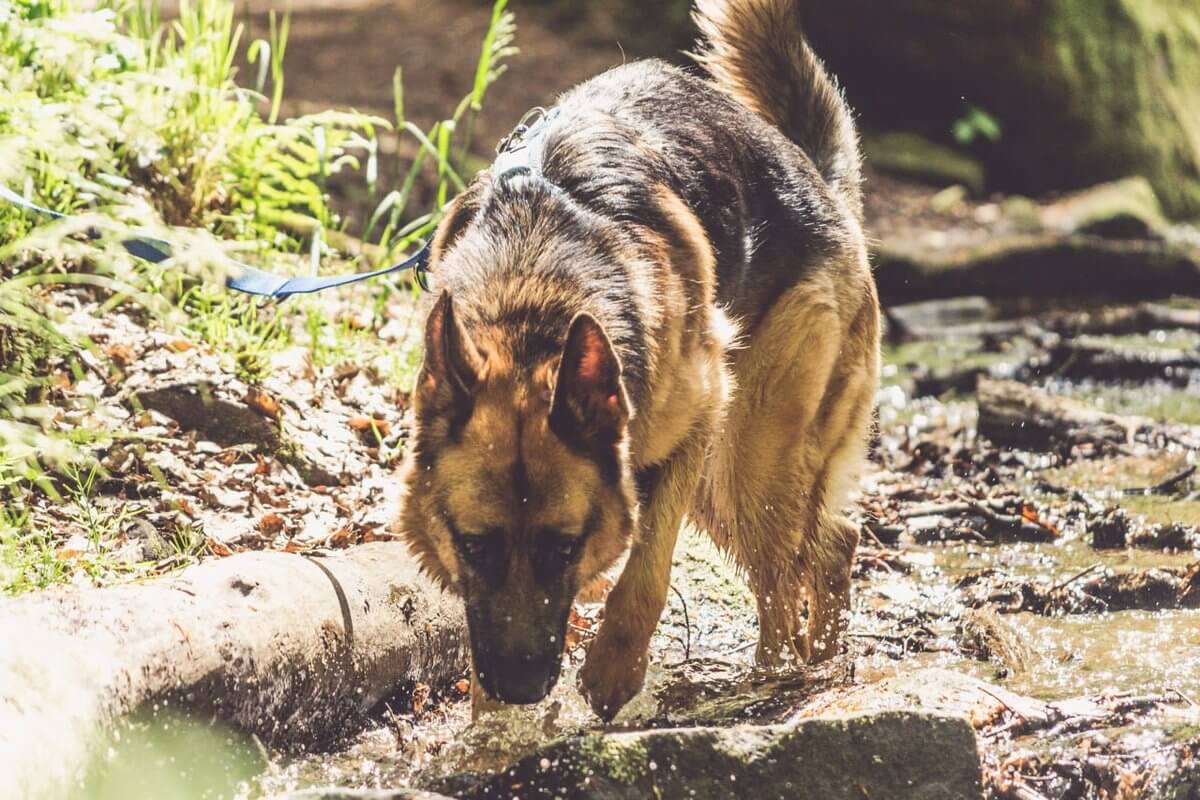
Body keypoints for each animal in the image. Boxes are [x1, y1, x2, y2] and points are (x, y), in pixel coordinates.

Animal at [396, 0, 880, 720]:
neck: (533, 299)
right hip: (725, 485)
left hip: (745, 456)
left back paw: (780, 678)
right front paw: (492, 729)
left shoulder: (697, 419)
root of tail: (818, 179)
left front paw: (612, 672)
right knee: (821, 547)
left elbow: (645, 570)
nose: (519, 689)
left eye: (564, 546)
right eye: (475, 544)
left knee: (798, 565)